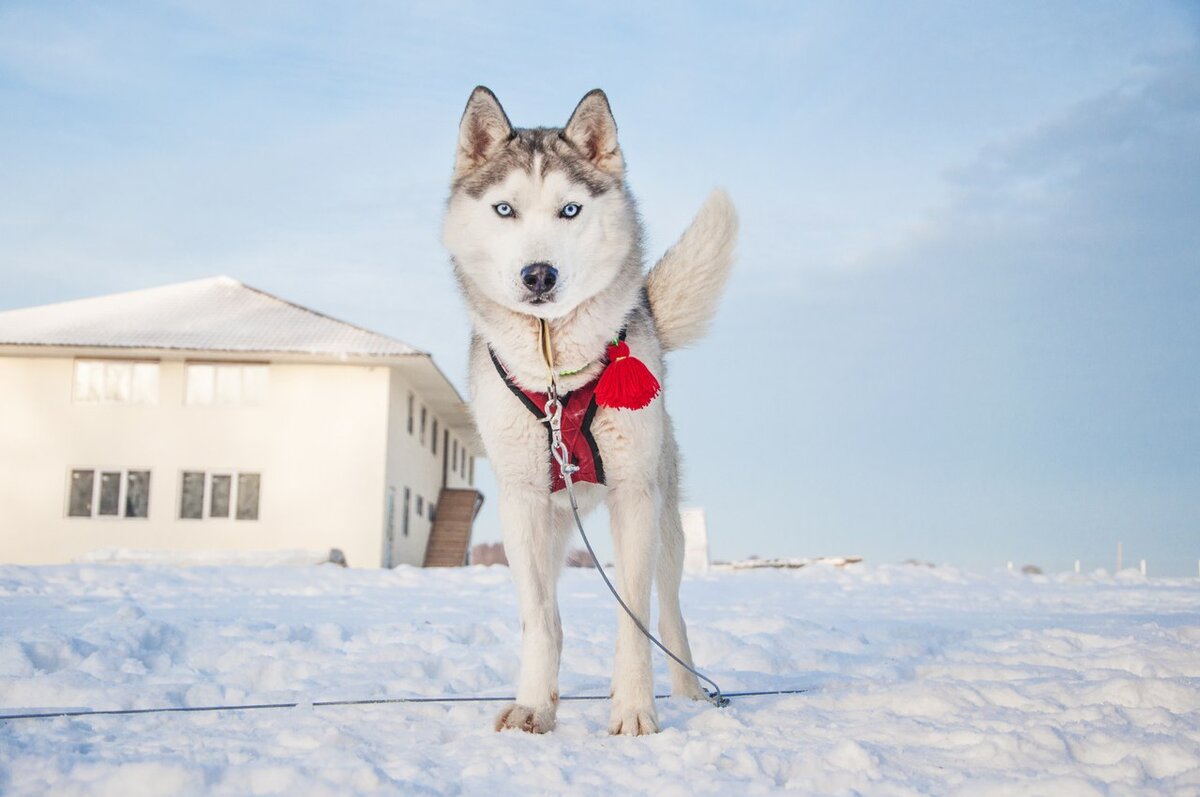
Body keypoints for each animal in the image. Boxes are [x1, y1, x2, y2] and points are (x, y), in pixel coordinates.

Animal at [444, 87, 734, 734]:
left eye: (570, 210)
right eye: (505, 210)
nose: (538, 274)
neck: (555, 370)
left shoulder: (634, 496)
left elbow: (634, 617)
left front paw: (634, 710)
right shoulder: (523, 501)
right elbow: (539, 620)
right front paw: (534, 705)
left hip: (667, 522)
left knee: (670, 614)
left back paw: (690, 695)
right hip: (554, 526)